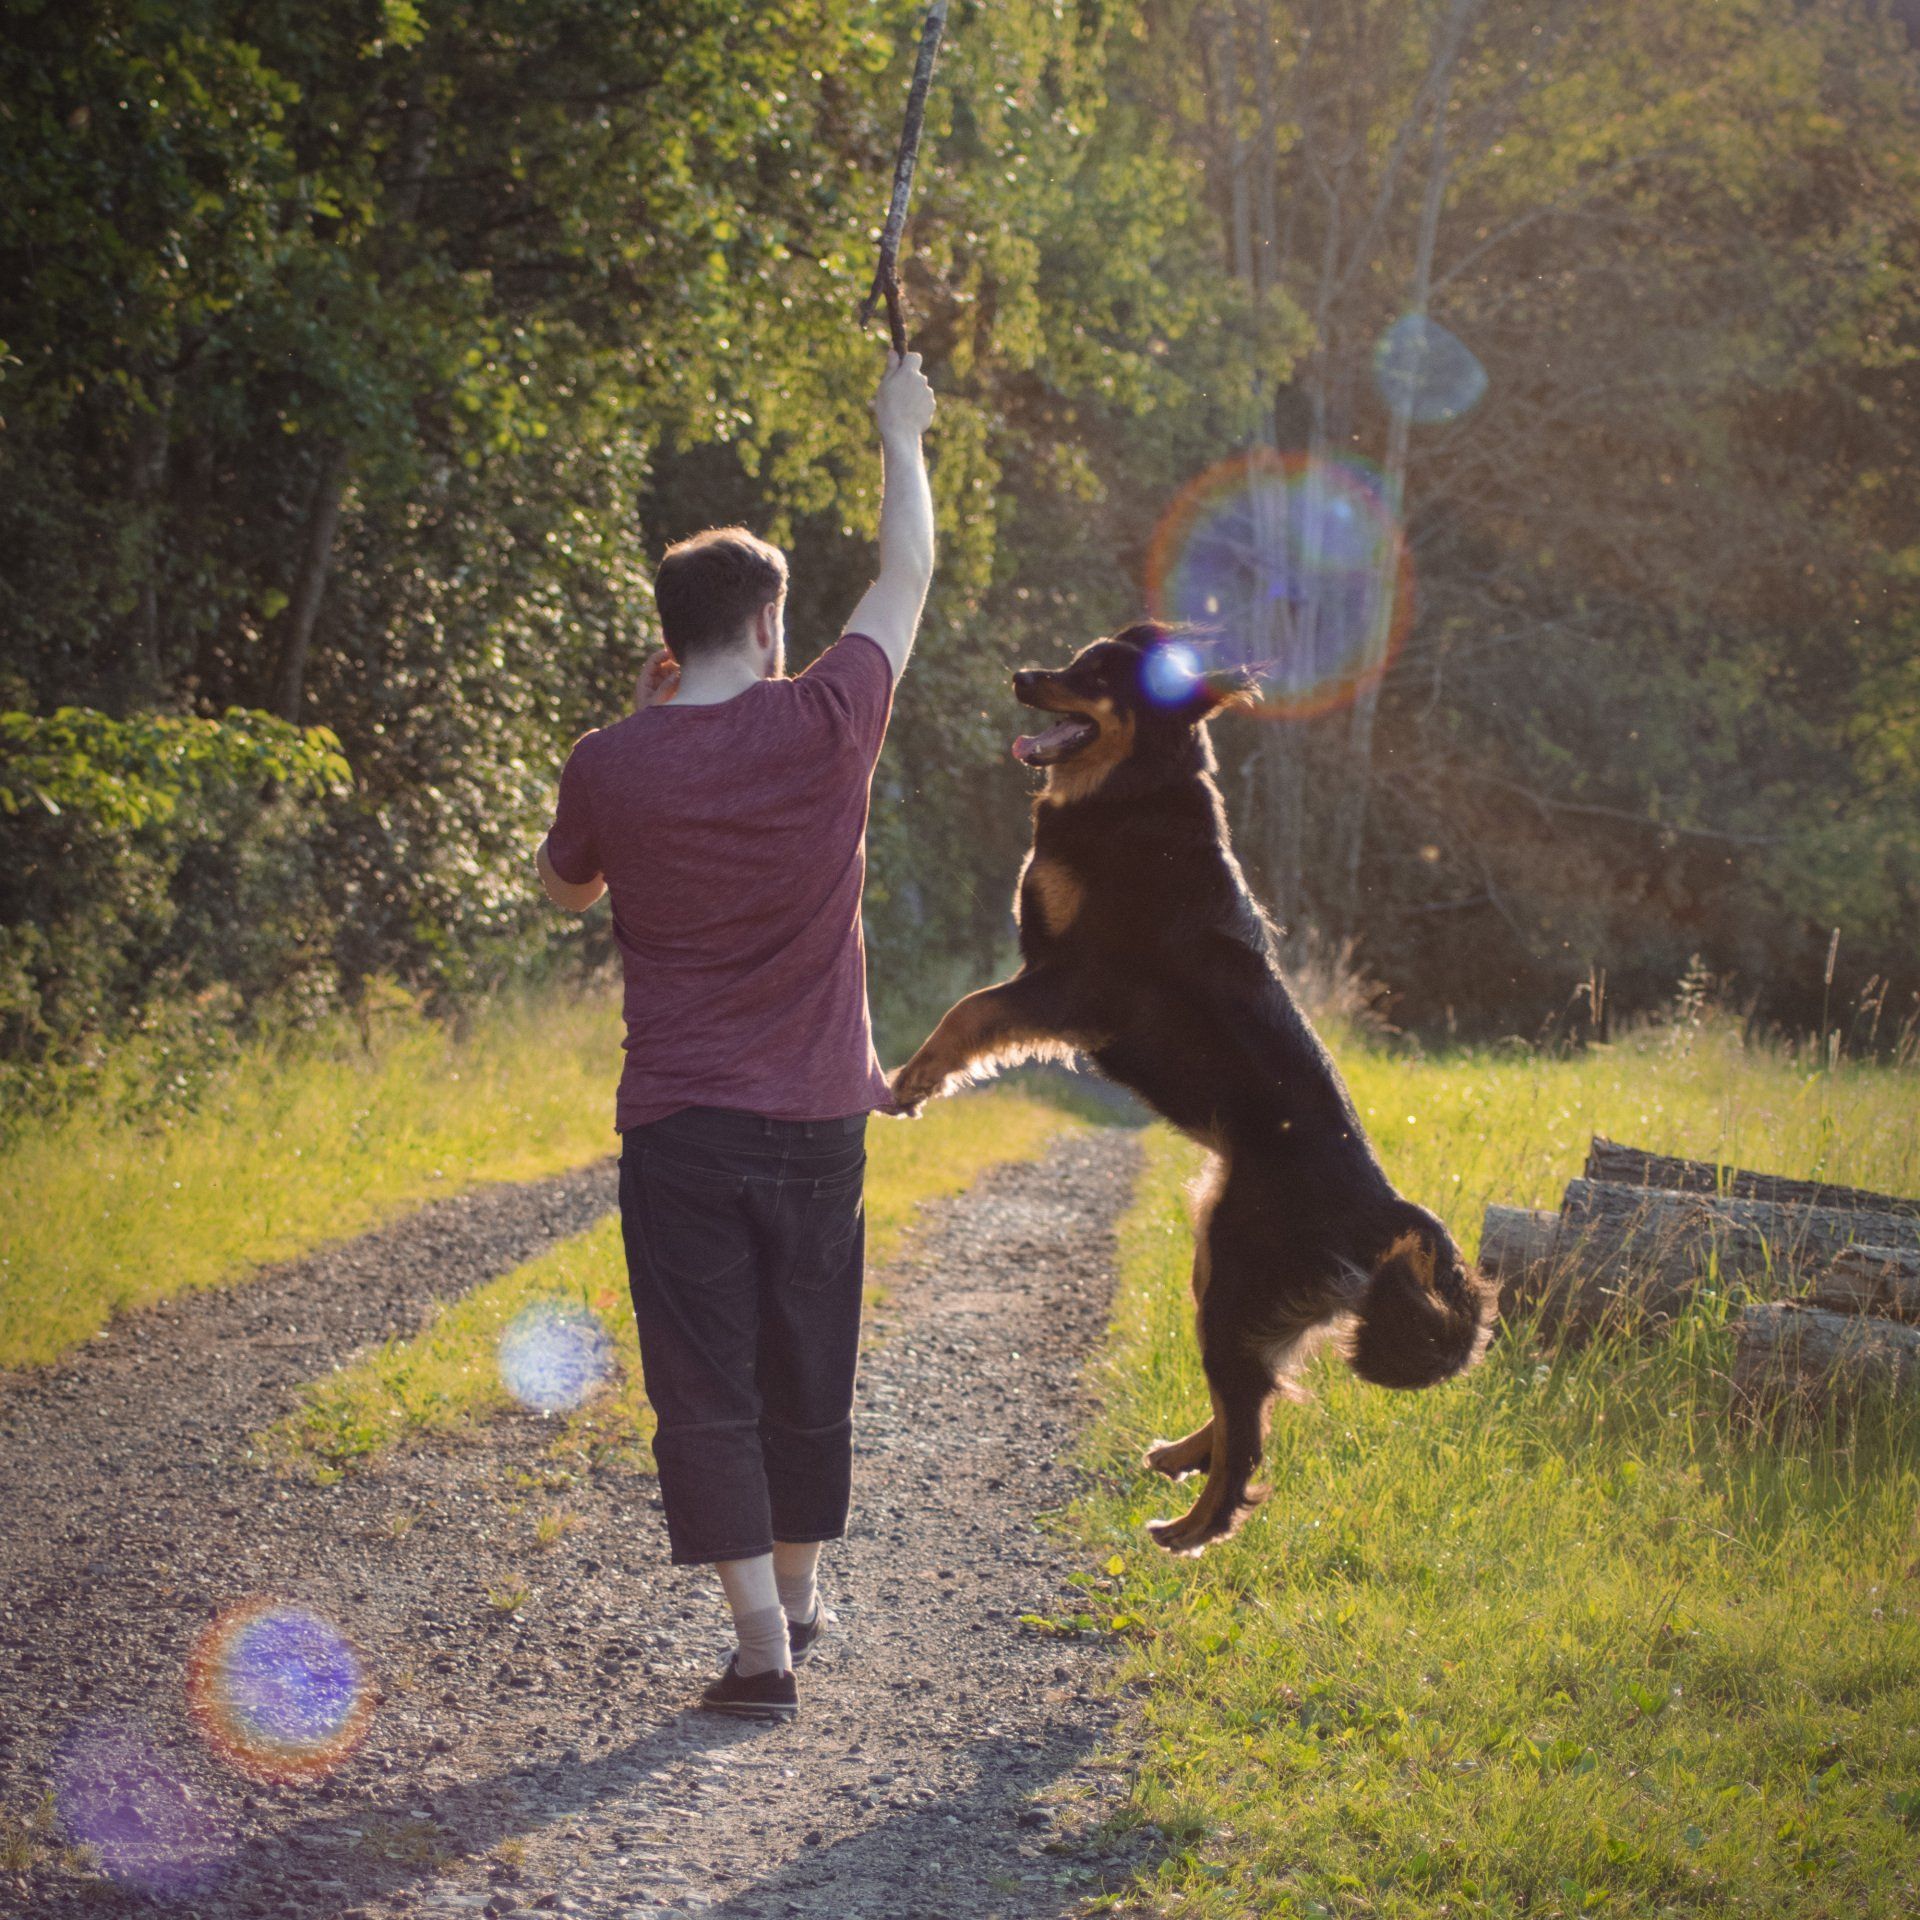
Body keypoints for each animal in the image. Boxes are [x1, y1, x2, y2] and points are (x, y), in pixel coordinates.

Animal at [883, 622, 1497, 1551]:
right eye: (1071, 659)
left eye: (1095, 674)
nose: (1021, 675)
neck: (1132, 792)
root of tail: (1388, 1211)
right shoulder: (1058, 983)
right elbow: (971, 1010)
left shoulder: (1076, 983)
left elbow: (967, 1011)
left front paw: (909, 1082)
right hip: (1221, 1269)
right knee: (1258, 1399)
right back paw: (1182, 1458)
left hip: (1236, 1277)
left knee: (1249, 1433)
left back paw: (1191, 1526)